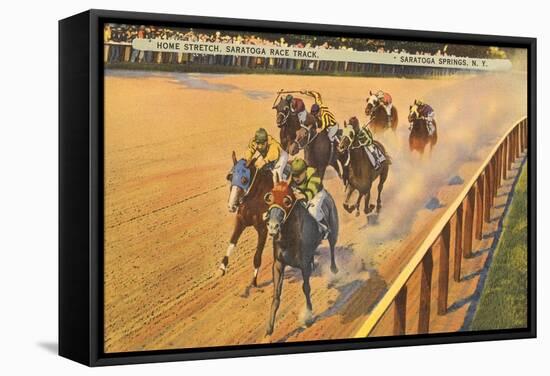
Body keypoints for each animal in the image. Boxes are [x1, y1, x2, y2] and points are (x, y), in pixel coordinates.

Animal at [219, 151, 272, 286]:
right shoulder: (240, 221)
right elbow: (232, 242)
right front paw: (221, 267)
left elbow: (257, 256)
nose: (231, 206)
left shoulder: (263, 229)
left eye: (244, 179)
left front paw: (254, 281)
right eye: (230, 177)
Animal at [264, 178, 338, 336]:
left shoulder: (303, 265)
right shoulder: (278, 264)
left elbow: (306, 288)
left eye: (287, 201)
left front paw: (308, 316)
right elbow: (276, 295)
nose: (272, 227)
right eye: (269, 198)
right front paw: (269, 327)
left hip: (334, 229)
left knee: (332, 247)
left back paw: (334, 270)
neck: (289, 237)